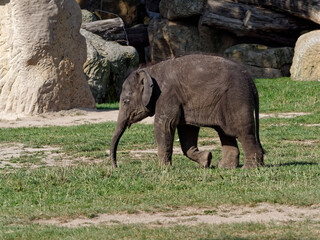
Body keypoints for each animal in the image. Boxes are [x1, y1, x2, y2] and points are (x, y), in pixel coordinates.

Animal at [110, 54, 262, 169]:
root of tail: (250, 80)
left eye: (125, 101)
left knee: (242, 132)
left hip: (236, 99)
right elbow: (187, 131)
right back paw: (225, 167)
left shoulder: (167, 95)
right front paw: (207, 160)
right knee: (225, 132)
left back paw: (249, 168)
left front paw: (163, 169)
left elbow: (164, 125)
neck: (150, 69)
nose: (116, 167)